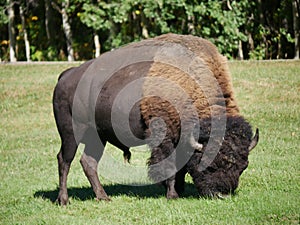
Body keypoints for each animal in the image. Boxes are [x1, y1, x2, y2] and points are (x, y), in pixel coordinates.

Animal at [52, 33, 258, 206]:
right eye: (211, 164)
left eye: (244, 166)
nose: (222, 195)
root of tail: (65, 76)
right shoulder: (164, 137)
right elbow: (170, 165)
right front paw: (172, 194)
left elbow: (180, 167)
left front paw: (179, 190)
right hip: (71, 133)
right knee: (64, 160)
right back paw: (64, 200)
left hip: (97, 138)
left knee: (89, 162)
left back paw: (103, 197)